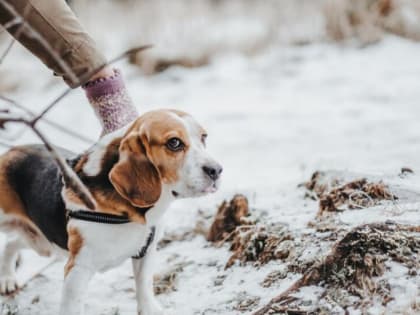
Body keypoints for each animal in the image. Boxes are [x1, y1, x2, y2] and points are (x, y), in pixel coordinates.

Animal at [0, 109, 223, 315]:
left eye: (204, 137)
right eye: (174, 143)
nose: (217, 170)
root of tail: (11, 151)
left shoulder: (146, 253)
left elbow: (144, 288)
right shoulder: (78, 269)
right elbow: (72, 307)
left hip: (42, 243)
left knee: (12, 243)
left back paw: (7, 278)